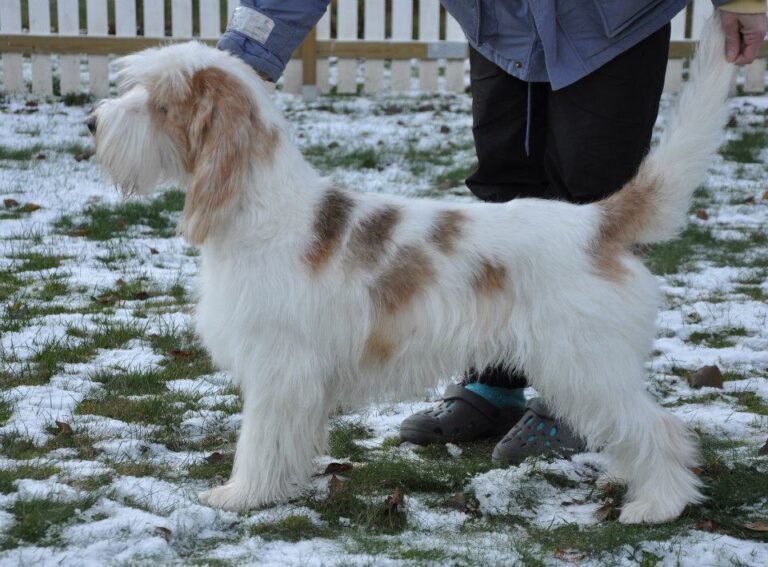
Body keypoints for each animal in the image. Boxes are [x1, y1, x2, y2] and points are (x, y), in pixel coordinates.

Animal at [90, 17, 732, 524]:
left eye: (157, 103)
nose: (93, 124)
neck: (261, 213)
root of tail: (597, 222)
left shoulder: (279, 367)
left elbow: (259, 440)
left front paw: (241, 494)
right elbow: (290, 440)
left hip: (585, 362)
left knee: (660, 428)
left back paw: (658, 504)